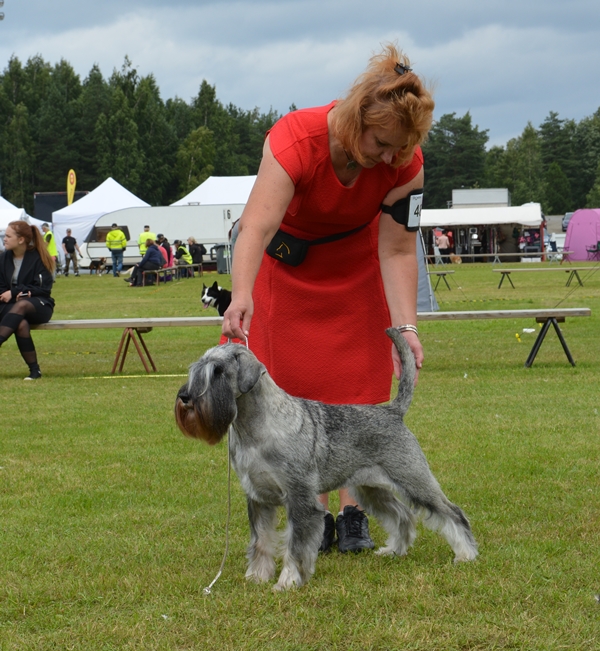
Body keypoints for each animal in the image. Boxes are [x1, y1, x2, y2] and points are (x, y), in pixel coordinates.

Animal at [175, 329, 478, 591]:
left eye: (218, 371)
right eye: (197, 368)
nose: (185, 397)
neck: (256, 428)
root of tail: (393, 412)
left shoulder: (299, 499)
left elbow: (295, 547)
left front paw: (287, 582)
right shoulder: (258, 498)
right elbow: (261, 541)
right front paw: (257, 577)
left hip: (414, 479)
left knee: (452, 513)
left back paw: (466, 555)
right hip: (370, 489)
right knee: (401, 515)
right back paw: (394, 550)